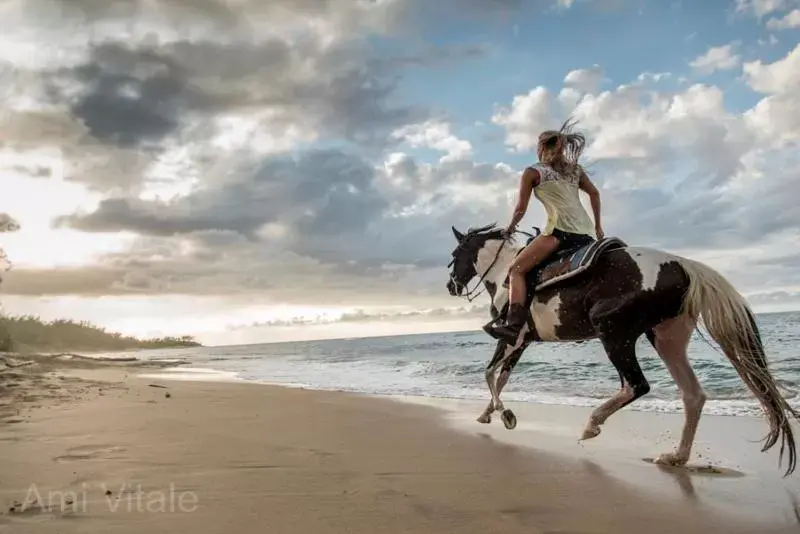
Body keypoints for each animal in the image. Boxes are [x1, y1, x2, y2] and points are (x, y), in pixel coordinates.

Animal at [444, 222, 800, 478]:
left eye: (454, 255)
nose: (451, 286)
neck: (507, 271)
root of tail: (683, 264)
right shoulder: (523, 341)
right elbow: (500, 377)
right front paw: (488, 413)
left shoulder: (512, 337)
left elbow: (490, 373)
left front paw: (504, 414)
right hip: (666, 338)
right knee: (692, 395)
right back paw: (676, 456)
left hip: (613, 332)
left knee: (636, 384)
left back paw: (591, 425)